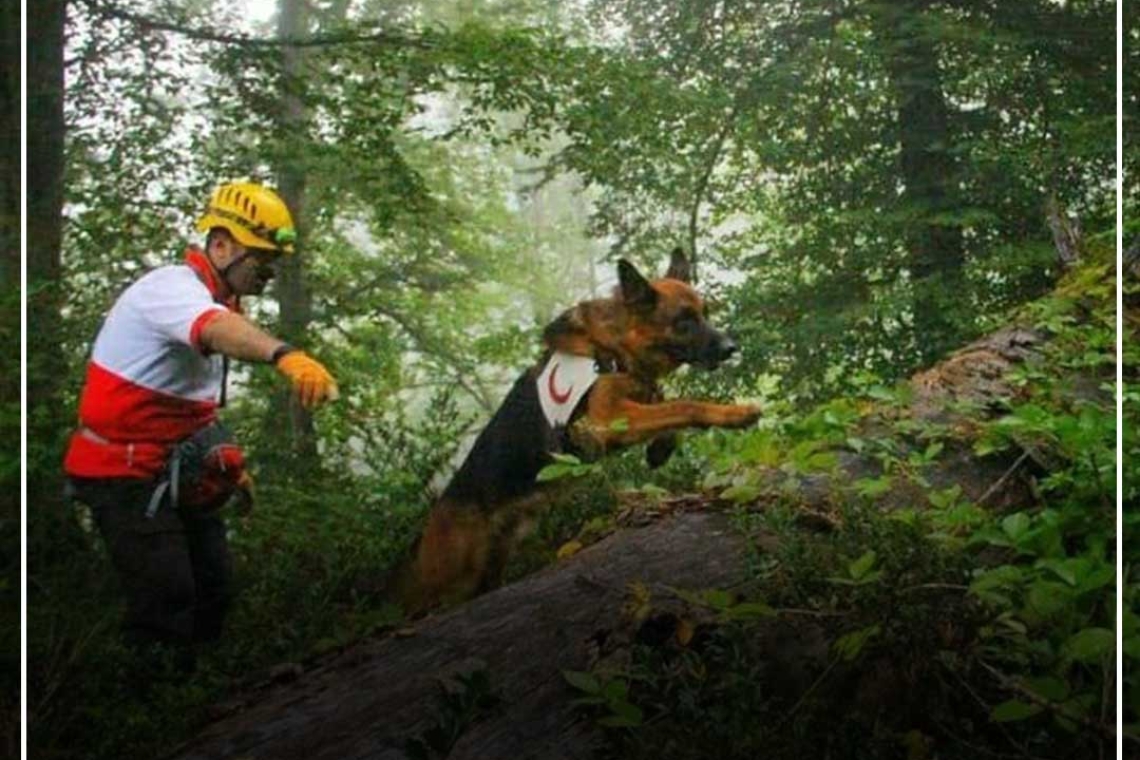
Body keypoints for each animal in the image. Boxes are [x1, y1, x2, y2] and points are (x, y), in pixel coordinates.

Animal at [389, 252, 756, 615]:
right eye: (684, 321)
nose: (732, 347)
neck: (615, 348)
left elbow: (666, 404)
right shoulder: (605, 421)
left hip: (485, 572)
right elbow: (684, 404)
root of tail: (432, 519)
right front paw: (734, 414)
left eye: (705, 314)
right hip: (451, 580)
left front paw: (661, 448)